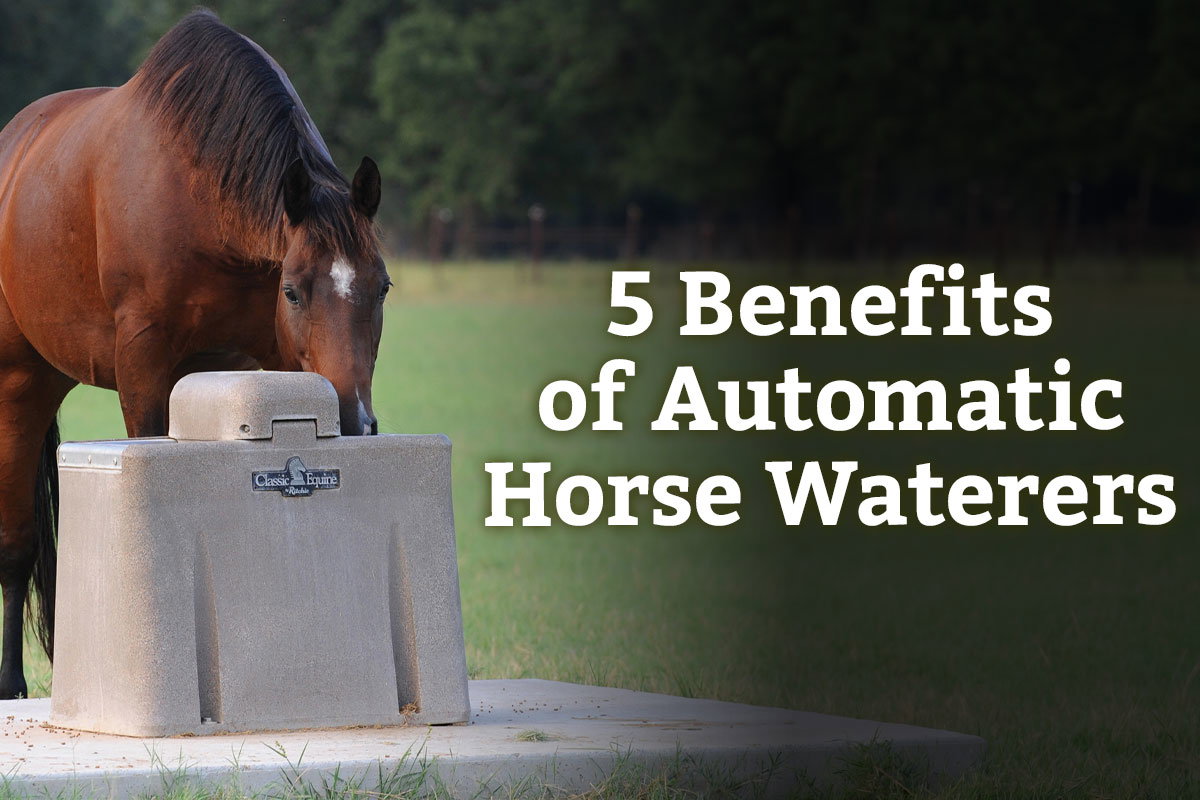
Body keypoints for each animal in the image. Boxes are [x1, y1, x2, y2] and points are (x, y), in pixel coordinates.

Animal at [0, 10, 390, 698]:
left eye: (384, 288)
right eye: (294, 290)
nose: (354, 421)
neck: (201, 198)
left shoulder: (268, 363)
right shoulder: (143, 366)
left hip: (45, 379)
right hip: (14, 380)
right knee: (16, 543)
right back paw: (10, 683)